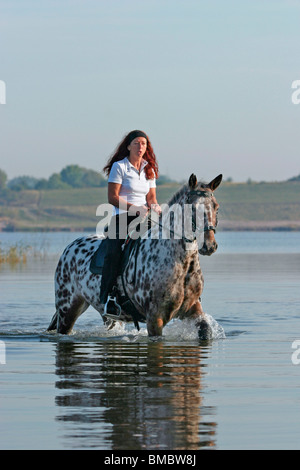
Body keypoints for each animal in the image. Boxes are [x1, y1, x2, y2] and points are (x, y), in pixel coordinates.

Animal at [45, 173, 221, 338]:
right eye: (193, 208)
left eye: (216, 207)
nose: (209, 245)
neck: (180, 262)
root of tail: (70, 247)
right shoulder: (155, 318)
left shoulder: (192, 309)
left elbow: (205, 332)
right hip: (67, 309)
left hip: (105, 315)